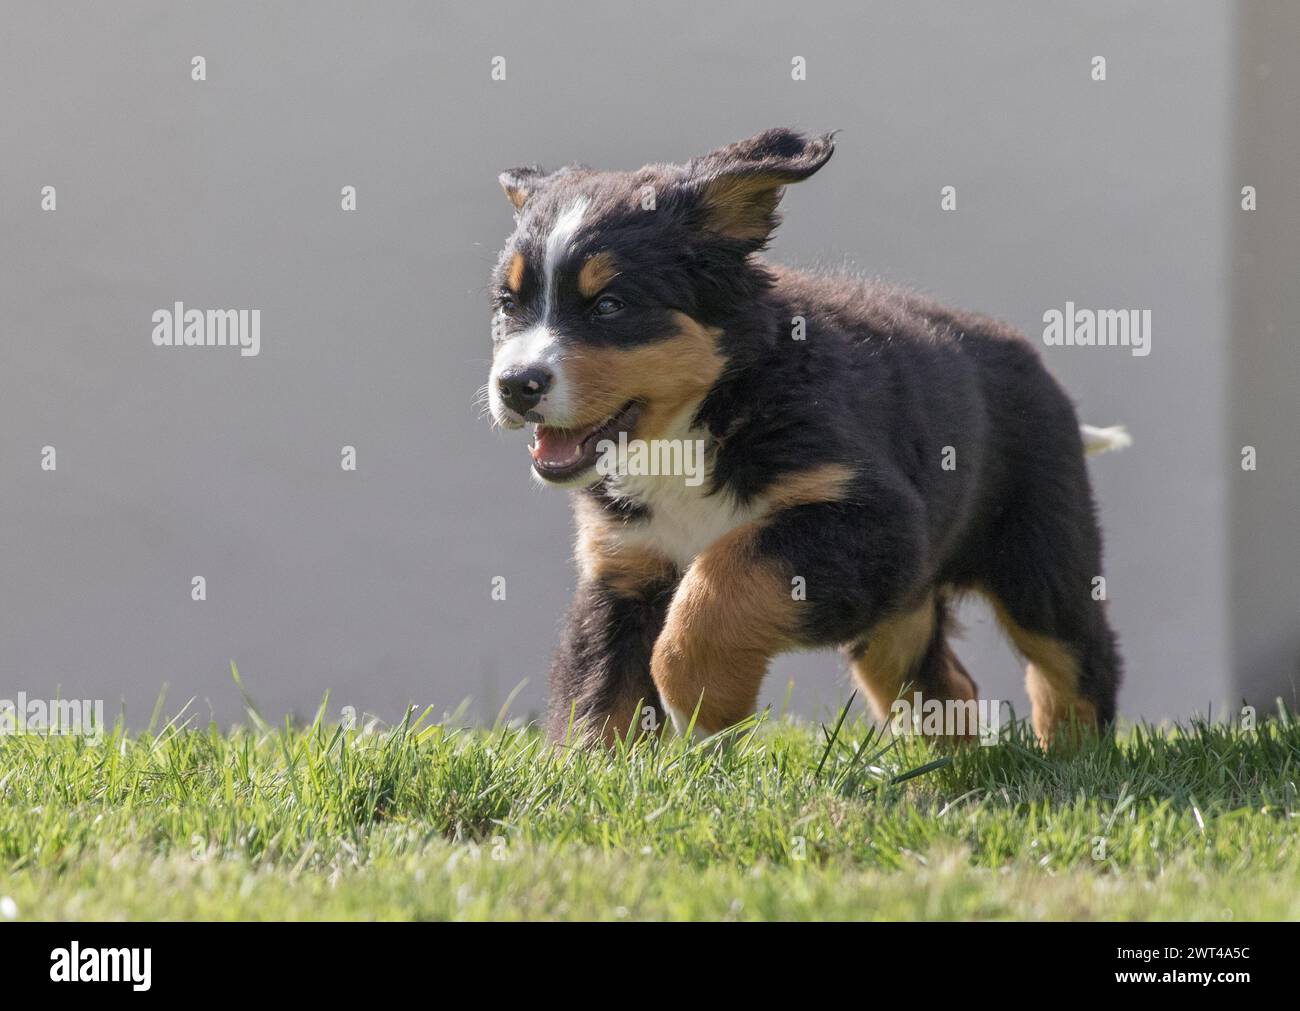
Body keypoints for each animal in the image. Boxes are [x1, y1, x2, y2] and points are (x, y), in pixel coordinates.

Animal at [488, 126, 1128, 743]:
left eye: (610, 306)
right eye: (508, 304)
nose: (515, 384)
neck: (696, 425)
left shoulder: (874, 519)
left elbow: (722, 582)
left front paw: (706, 706)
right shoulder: (621, 567)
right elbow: (595, 700)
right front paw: (599, 772)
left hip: (1039, 558)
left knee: (1076, 661)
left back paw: (1068, 760)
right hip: (900, 610)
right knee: (942, 686)